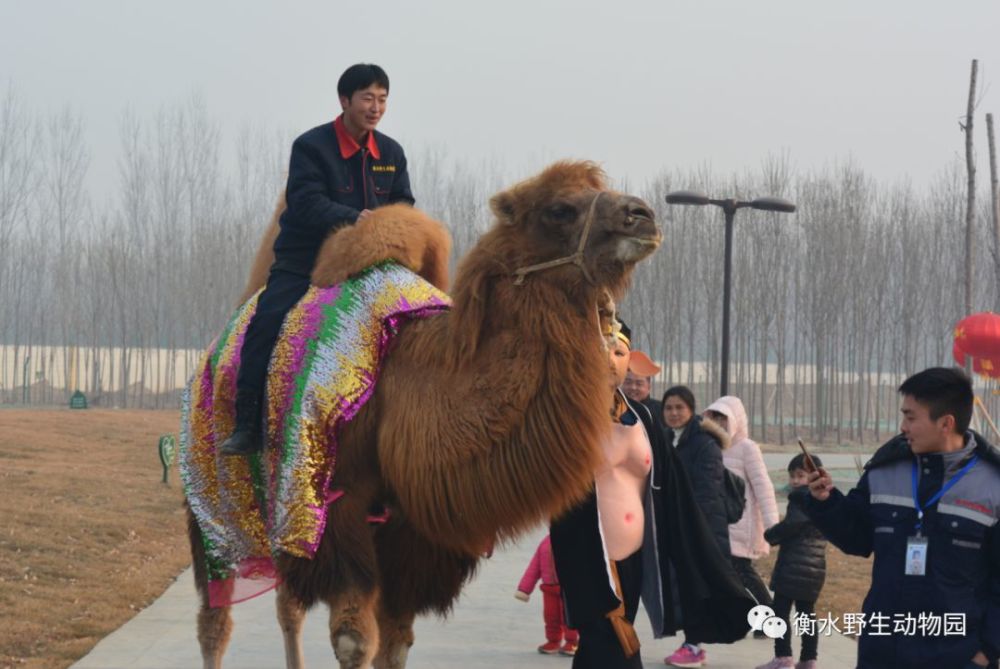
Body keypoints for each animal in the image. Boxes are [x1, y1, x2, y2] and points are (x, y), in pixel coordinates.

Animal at [188, 159, 664, 664]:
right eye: (559, 209)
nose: (643, 215)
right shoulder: (335, 507)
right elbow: (354, 641)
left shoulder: (414, 535)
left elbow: (396, 640)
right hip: (214, 502)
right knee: (216, 618)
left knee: (287, 607)